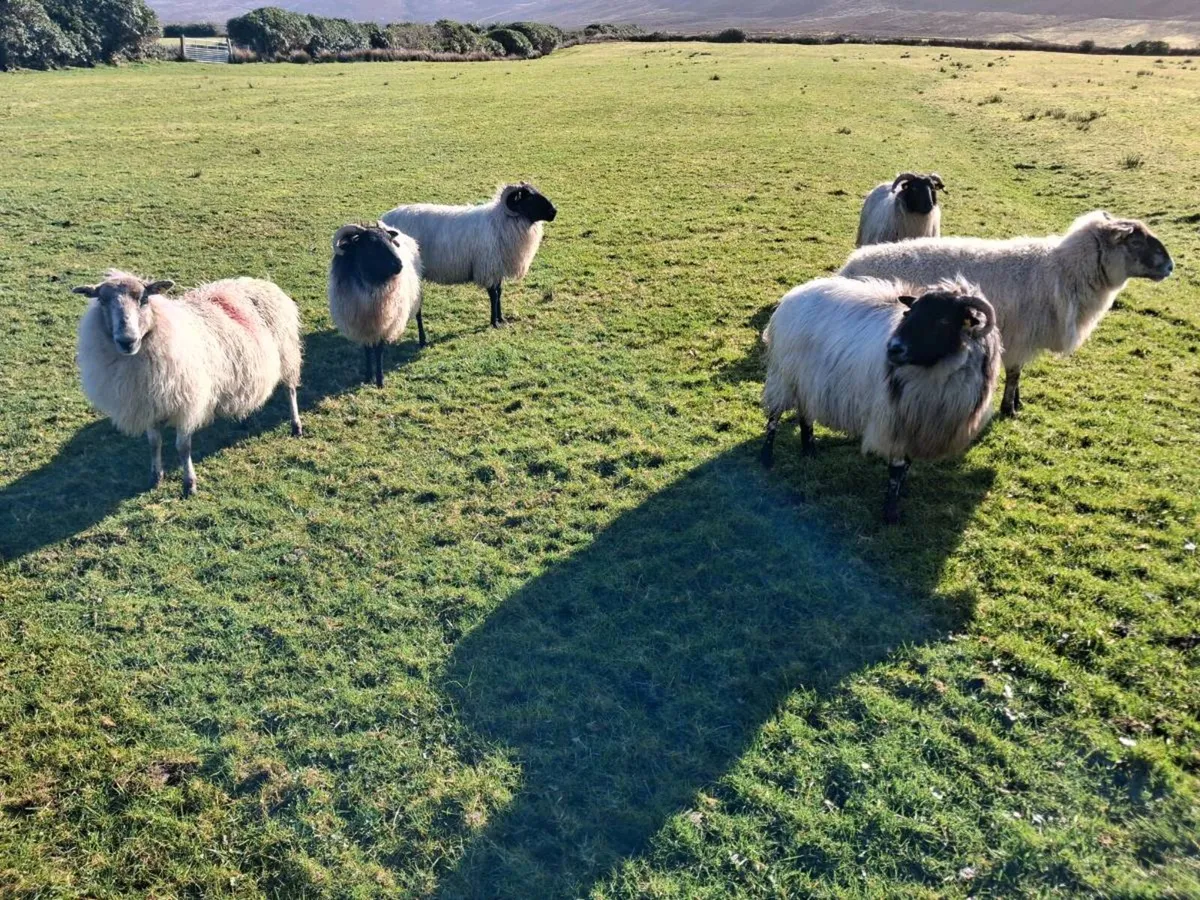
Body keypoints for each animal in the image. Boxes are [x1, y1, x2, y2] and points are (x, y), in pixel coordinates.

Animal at [74, 270, 303, 497]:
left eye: (144, 299)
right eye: (102, 301)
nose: (127, 340)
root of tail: (260, 281)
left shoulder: (187, 404)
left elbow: (183, 448)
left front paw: (189, 484)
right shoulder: (148, 404)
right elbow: (154, 444)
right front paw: (156, 476)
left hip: (287, 354)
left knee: (290, 390)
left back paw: (296, 426)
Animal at [328, 221, 423, 388]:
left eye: (390, 240)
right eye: (371, 242)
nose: (399, 265)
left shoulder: (384, 323)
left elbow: (379, 350)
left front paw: (380, 381)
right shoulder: (363, 325)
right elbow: (367, 350)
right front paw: (368, 376)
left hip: (416, 293)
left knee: (418, 314)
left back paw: (423, 340)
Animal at [381, 182, 557, 328]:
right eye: (530, 197)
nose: (554, 212)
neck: (501, 222)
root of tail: (384, 219)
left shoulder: (497, 268)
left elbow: (499, 293)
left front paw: (501, 319)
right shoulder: (488, 267)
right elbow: (493, 295)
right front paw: (494, 323)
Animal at [761, 276, 1000, 524]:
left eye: (942, 320)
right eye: (909, 313)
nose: (893, 349)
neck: (935, 371)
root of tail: (794, 294)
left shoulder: (914, 424)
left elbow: (907, 466)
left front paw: (902, 492)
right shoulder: (894, 421)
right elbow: (896, 469)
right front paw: (890, 513)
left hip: (808, 381)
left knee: (806, 413)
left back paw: (809, 450)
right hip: (784, 375)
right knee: (774, 416)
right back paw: (766, 457)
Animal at [840, 210, 1174, 415]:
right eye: (1135, 241)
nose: (1170, 266)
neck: (1064, 271)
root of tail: (849, 266)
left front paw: (1016, 403)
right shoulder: (1021, 337)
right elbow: (1015, 374)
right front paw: (1010, 407)